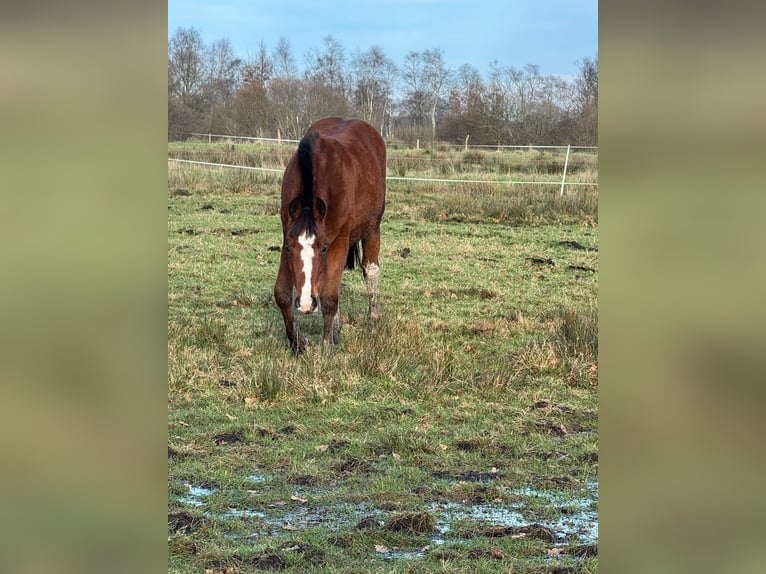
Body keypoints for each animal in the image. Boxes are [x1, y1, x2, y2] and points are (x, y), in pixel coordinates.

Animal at [272, 117, 388, 354]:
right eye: (289, 247)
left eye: (323, 247)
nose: (306, 304)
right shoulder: (286, 233)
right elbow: (282, 294)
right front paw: (298, 342)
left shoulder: (339, 242)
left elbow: (329, 297)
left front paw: (326, 346)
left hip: (372, 228)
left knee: (371, 270)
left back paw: (373, 318)